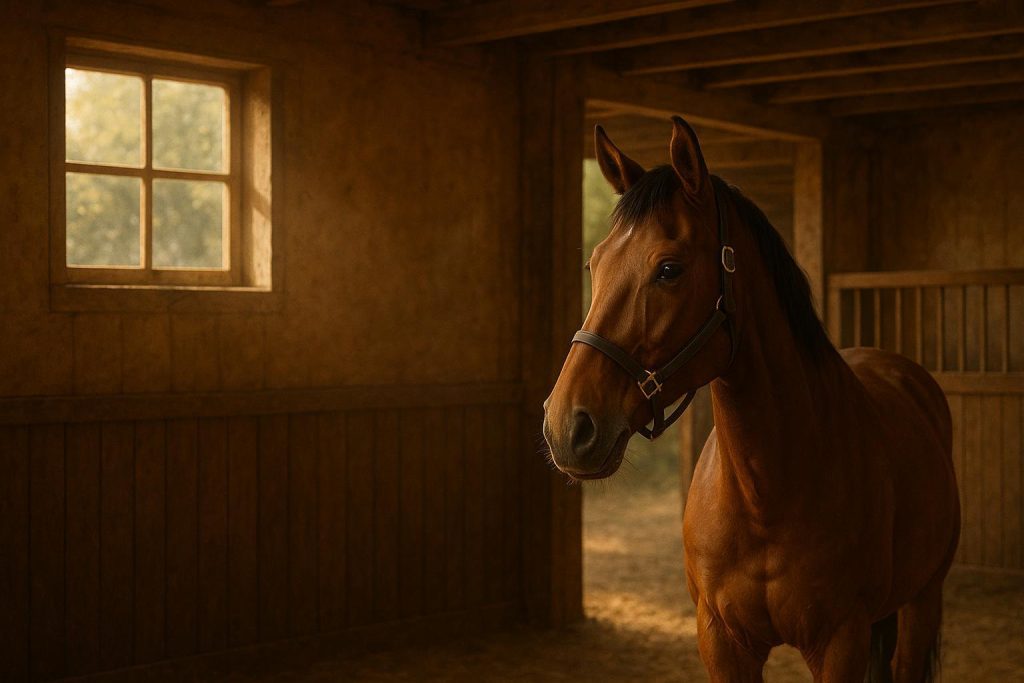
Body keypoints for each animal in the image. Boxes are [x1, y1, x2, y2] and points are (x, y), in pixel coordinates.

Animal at [542, 116, 960, 683]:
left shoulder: (842, 642)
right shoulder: (722, 642)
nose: (567, 426)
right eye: (594, 265)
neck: (766, 494)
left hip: (923, 601)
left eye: (669, 269)